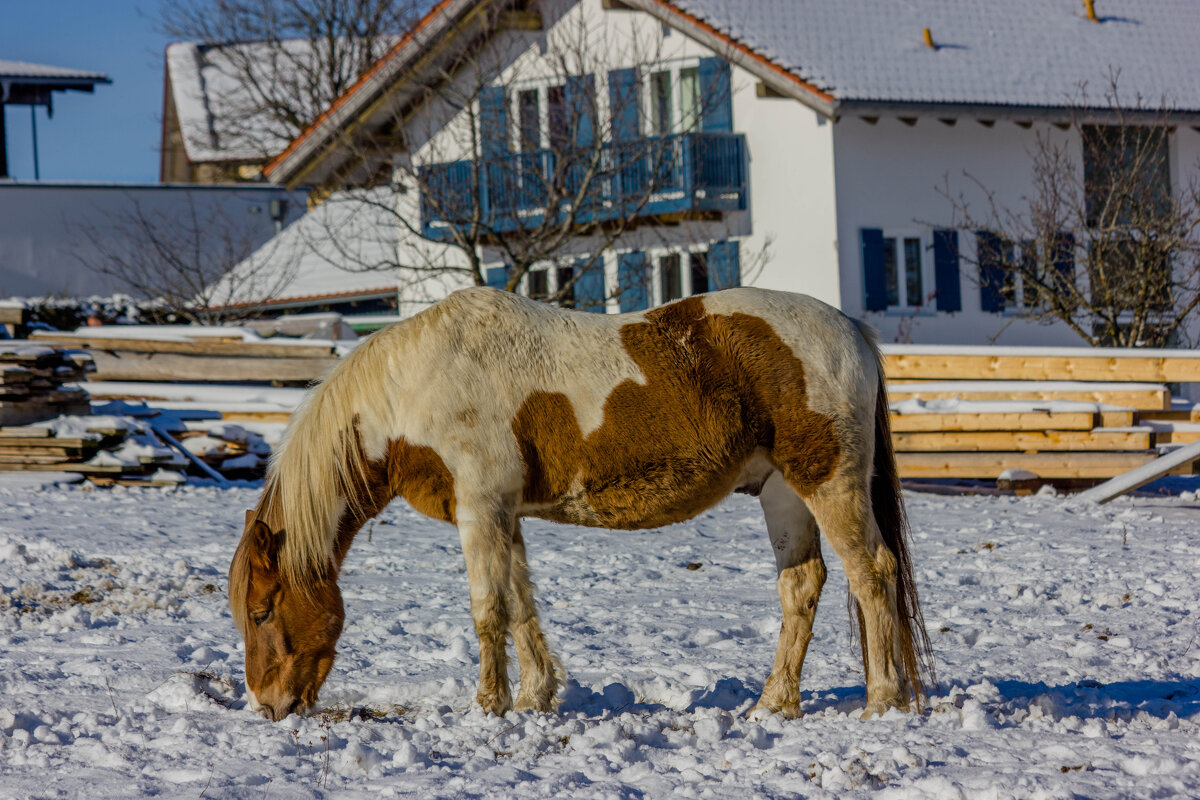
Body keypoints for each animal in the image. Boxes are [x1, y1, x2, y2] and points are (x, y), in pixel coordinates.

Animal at [229, 286, 931, 719]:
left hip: (829, 483)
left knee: (873, 573)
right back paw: (774, 704)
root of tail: (850, 329)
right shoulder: (504, 514)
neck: (413, 388)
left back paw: (883, 699)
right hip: (784, 494)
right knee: (802, 586)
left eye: (262, 611)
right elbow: (520, 605)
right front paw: (536, 698)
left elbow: (488, 610)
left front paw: (489, 707)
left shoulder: (479, 509)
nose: (267, 706)